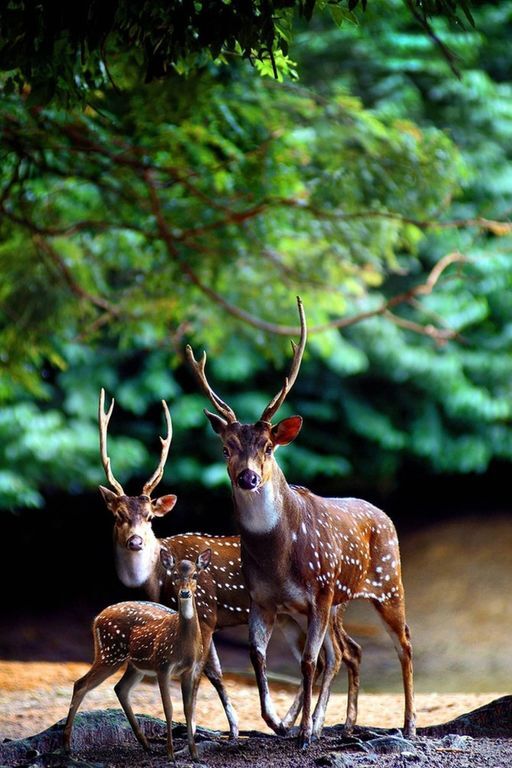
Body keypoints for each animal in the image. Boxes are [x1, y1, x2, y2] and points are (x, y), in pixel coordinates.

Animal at [63, 548, 212, 760]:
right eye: (174, 574)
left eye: (195, 575)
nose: (184, 592)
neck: (183, 644)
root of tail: (97, 618)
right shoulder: (163, 665)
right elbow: (168, 708)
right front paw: (170, 754)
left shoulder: (189, 670)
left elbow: (188, 709)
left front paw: (194, 754)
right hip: (110, 653)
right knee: (80, 684)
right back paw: (67, 747)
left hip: (134, 665)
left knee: (120, 688)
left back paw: (146, 744)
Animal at [98, 390, 362, 736]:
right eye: (118, 516)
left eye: (150, 517)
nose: (135, 541)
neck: (158, 580)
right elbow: (214, 672)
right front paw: (230, 728)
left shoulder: (206, 609)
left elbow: (205, 671)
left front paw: (217, 728)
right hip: (295, 615)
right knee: (336, 654)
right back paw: (301, 722)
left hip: (328, 606)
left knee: (339, 654)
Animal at [187, 296, 416, 748]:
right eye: (225, 448)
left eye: (269, 446)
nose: (248, 477)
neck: (278, 556)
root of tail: (385, 516)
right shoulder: (263, 599)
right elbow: (258, 656)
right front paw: (277, 722)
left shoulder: (319, 591)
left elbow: (308, 662)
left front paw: (305, 732)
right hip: (339, 601)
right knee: (348, 651)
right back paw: (342, 724)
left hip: (387, 581)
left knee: (402, 642)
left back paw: (409, 724)